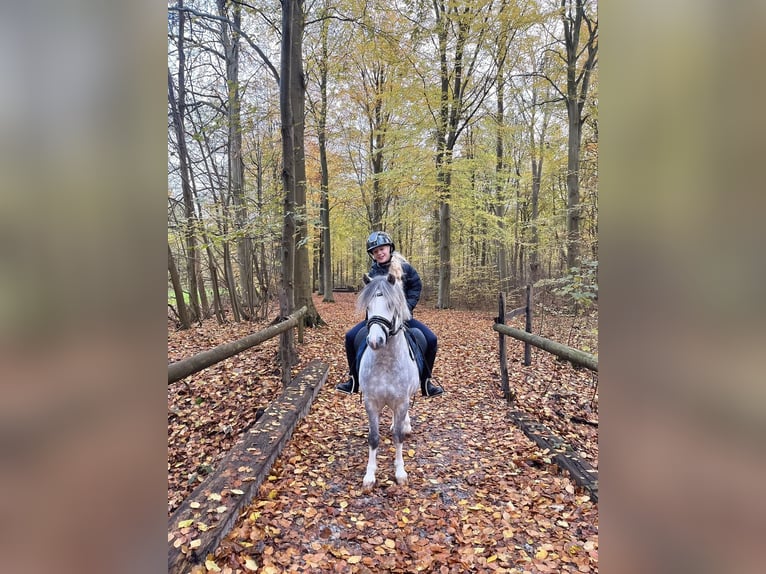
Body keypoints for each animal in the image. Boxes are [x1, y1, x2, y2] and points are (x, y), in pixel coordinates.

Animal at [355, 256, 419, 491]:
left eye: (392, 305)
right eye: (368, 306)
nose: (375, 341)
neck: (385, 363)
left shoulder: (401, 401)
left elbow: (398, 437)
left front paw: (400, 473)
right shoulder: (371, 402)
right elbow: (374, 438)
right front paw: (370, 475)